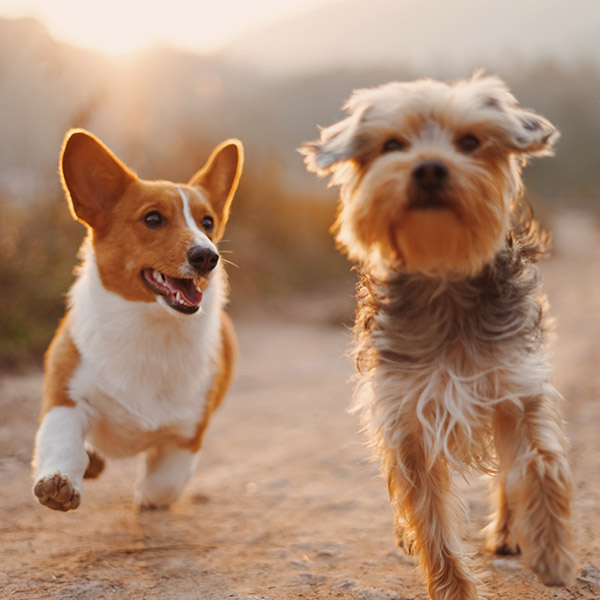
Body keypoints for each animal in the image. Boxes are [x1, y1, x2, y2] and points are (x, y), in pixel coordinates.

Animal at [32, 130, 241, 510]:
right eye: (153, 219)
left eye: (208, 223)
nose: (208, 256)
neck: (150, 326)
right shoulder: (66, 399)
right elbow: (62, 443)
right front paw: (59, 481)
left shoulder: (187, 435)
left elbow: (164, 483)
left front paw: (146, 496)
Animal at [304, 76, 576, 600]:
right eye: (392, 145)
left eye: (470, 142)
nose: (429, 167)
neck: (443, 275)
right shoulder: (405, 416)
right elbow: (429, 516)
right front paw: (453, 587)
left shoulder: (516, 386)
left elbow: (540, 463)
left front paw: (552, 549)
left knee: (508, 475)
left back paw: (509, 531)